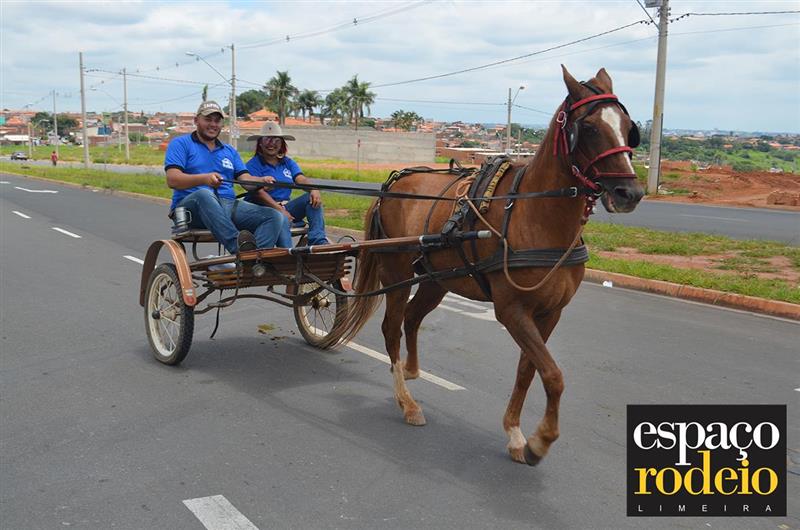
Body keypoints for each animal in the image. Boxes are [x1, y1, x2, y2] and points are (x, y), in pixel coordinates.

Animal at [321, 66, 644, 465]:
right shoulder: (512, 310)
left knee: (412, 317)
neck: (536, 214)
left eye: (628, 127)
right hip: (396, 273)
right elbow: (553, 375)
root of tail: (391, 184)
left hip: (437, 280)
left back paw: (412, 371)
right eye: (588, 128)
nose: (630, 193)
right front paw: (541, 440)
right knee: (391, 328)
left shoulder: (550, 313)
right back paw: (406, 401)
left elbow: (528, 370)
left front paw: (516, 433)